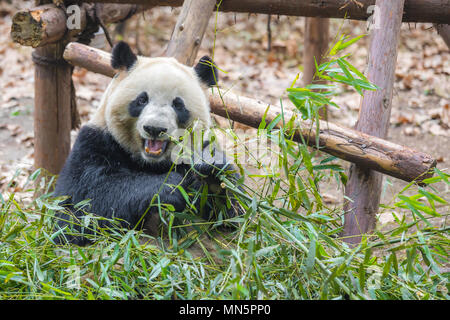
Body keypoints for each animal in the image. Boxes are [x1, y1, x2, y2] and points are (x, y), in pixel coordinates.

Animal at [52, 40, 241, 245]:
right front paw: (170, 187)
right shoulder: (95, 142)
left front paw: (210, 172)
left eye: (178, 104)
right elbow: (80, 205)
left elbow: (232, 214)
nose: (155, 129)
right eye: (142, 99)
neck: (150, 163)